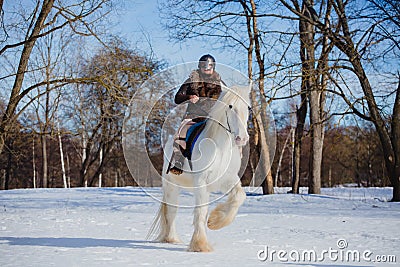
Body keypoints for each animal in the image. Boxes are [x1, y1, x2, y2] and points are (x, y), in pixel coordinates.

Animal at [148, 86, 250, 253]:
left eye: (248, 107)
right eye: (230, 106)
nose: (242, 138)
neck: (220, 148)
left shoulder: (227, 179)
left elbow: (239, 196)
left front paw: (215, 222)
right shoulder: (202, 182)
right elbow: (201, 212)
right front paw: (200, 244)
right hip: (171, 186)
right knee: (171, 212)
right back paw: (171, 238)